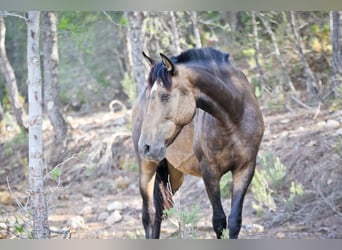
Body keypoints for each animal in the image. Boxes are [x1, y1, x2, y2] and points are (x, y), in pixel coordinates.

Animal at [132, 47, 264, 238]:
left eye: (165, 96)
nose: (146, 146)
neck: (235, 117)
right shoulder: (209, 171)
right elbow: (219, 221)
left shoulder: (245, 168)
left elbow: (234, 221)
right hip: (147, 167)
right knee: (149, 215)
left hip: (174, 175)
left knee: (158, 214)